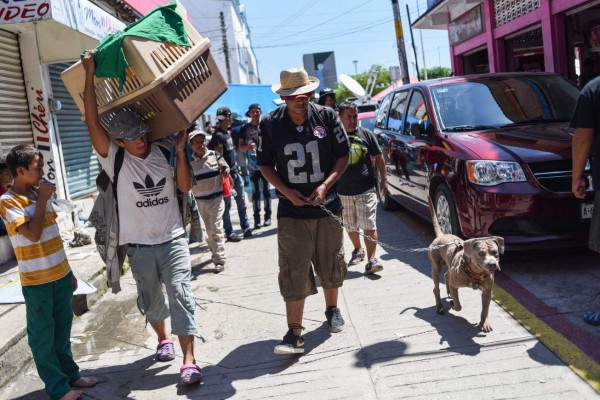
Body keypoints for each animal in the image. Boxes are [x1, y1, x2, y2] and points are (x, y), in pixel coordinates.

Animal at [426, 198, 506, 332]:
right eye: (481, 253)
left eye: (495, 252)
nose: (492, 265)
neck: (475, 273)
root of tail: (441, 236)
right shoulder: (455, 286)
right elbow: (458, 305)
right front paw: (453, 305)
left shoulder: (487, 291)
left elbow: (485, 309)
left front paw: (484, 323)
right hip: (435, 267)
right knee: (436, 288)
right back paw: (440, 306)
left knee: (447, 275)